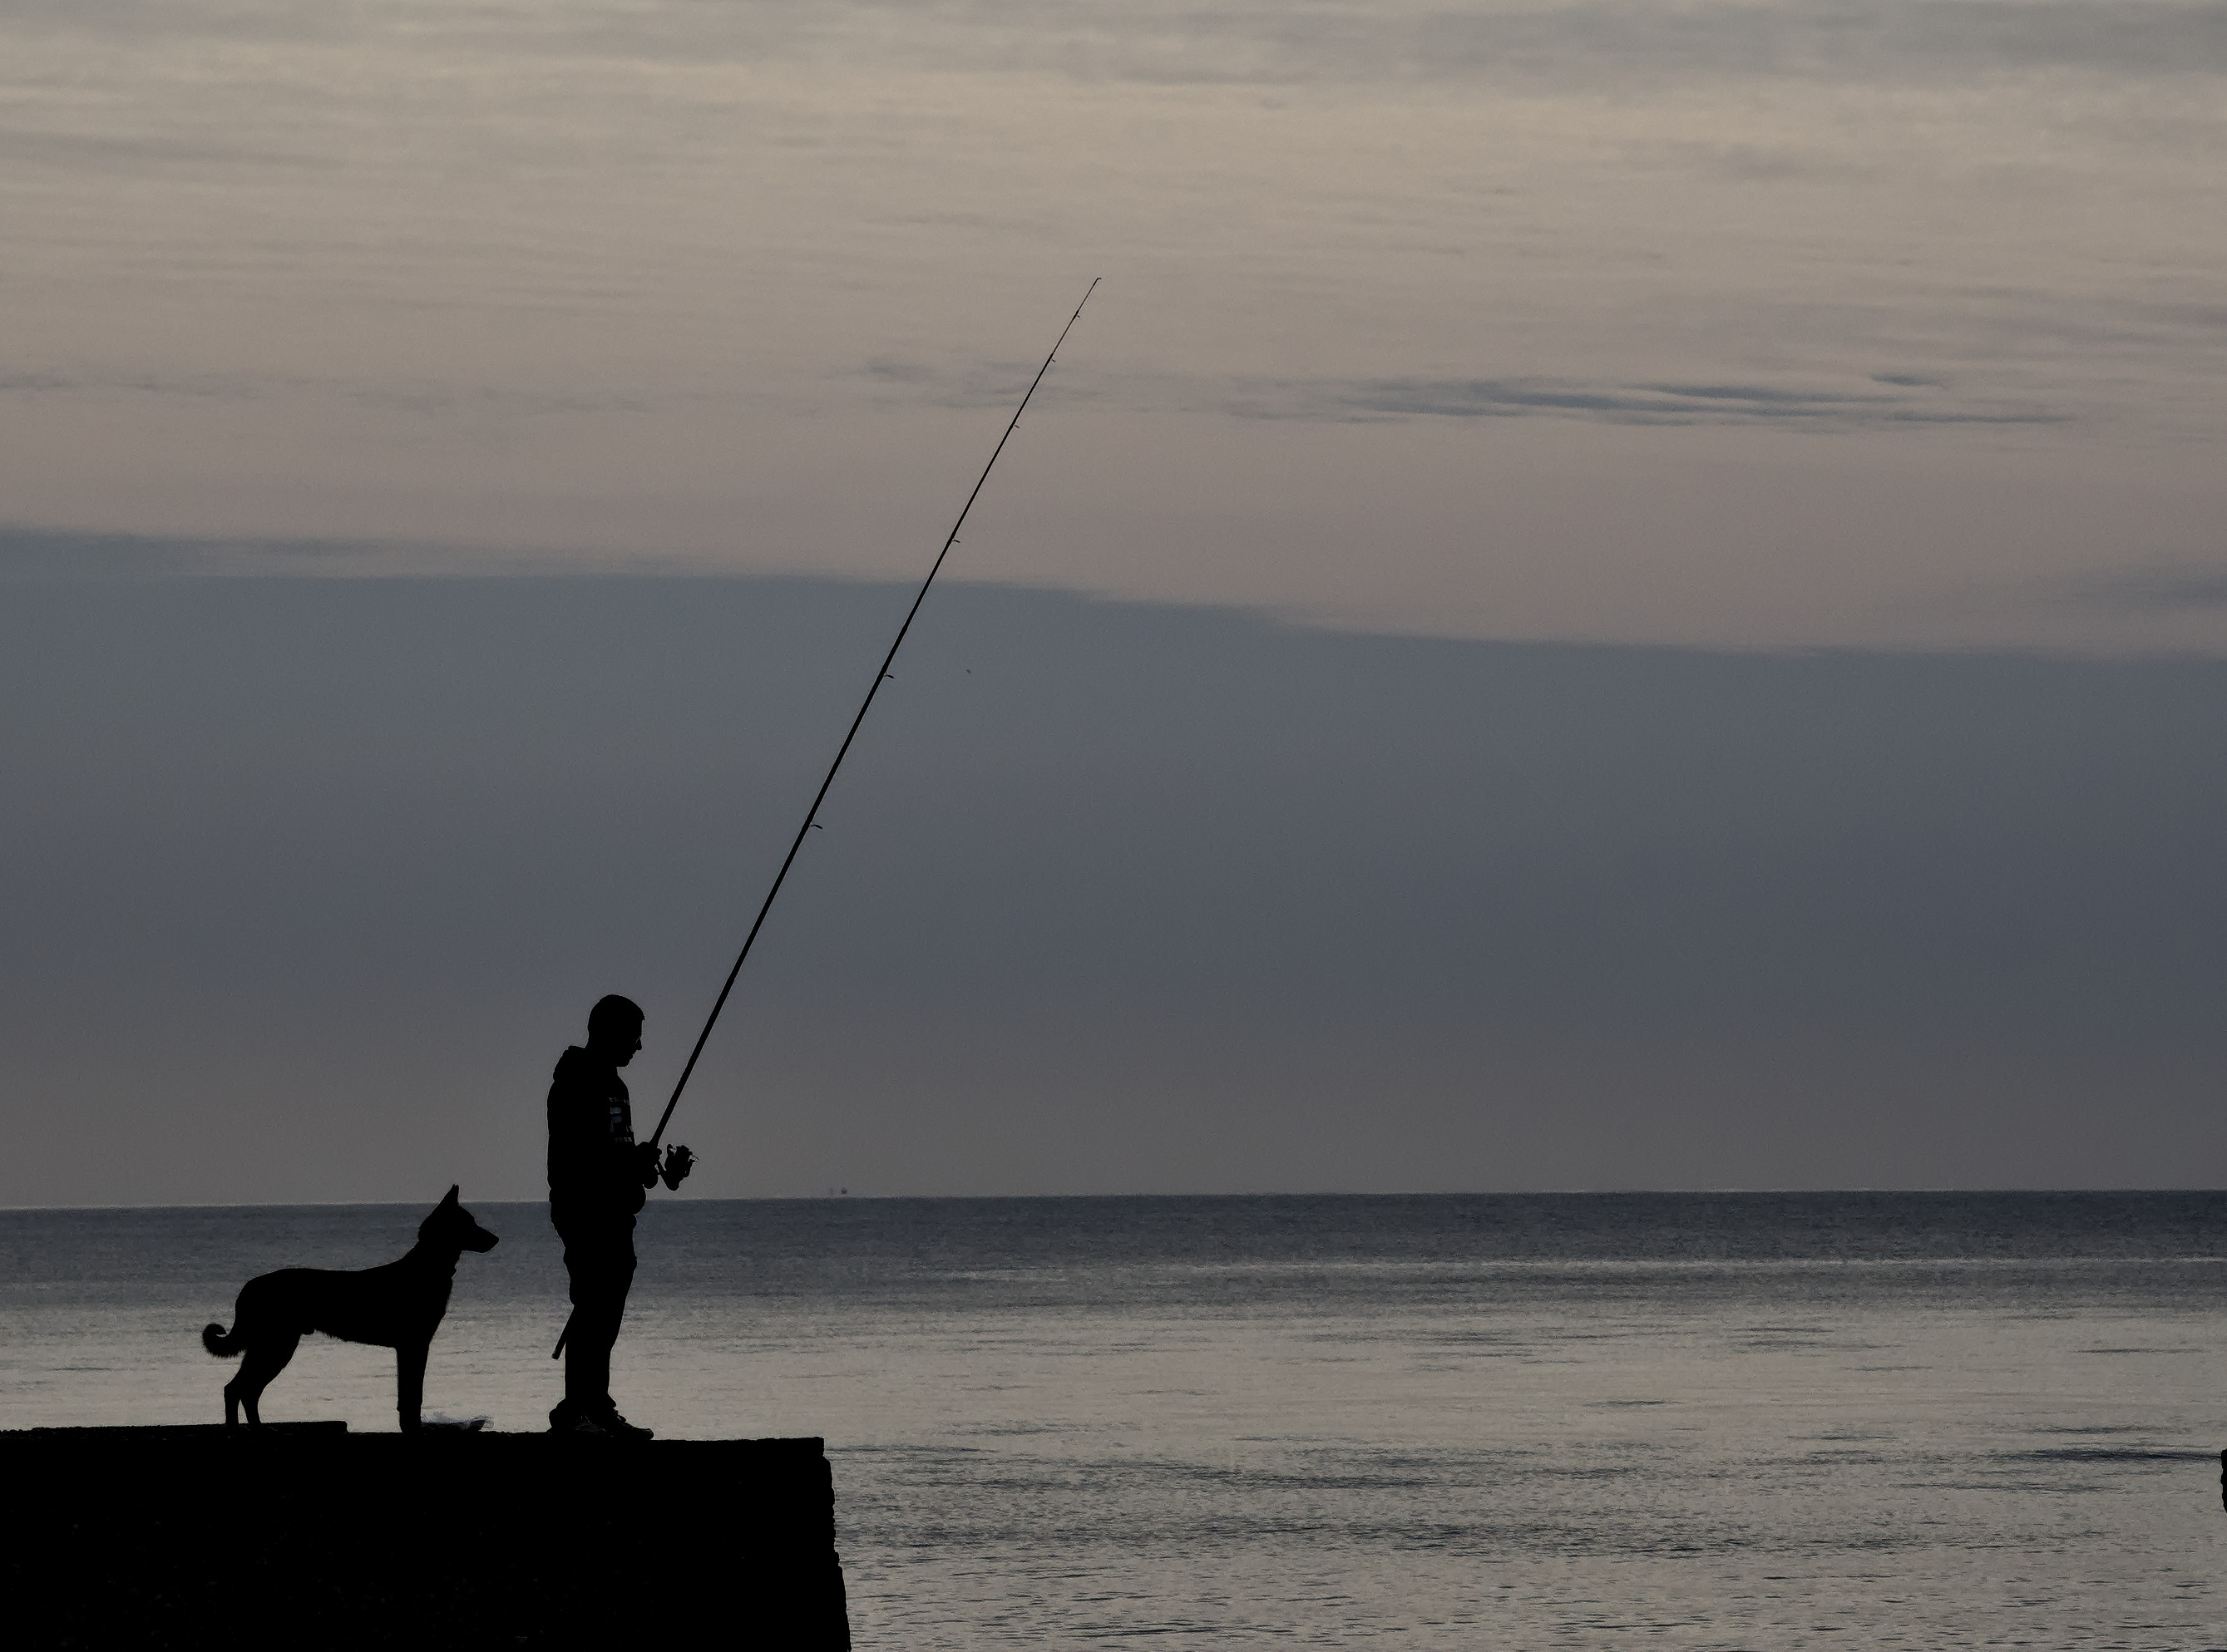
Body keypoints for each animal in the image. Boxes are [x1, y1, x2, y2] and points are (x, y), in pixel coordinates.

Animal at [201, 1193, 501, 1433]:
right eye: (468, 1223)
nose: (497, 1239)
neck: (427, 1268)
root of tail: (250, 1285)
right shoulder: (415, 1346)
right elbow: (413, 1395)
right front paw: (414, 1429)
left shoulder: (407, 1348)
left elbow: (406, 1397)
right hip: (277, 1347)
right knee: (238, 1389)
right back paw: (239, 1431)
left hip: (270, 1347)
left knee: (245, 1391)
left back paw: (259, 1429)